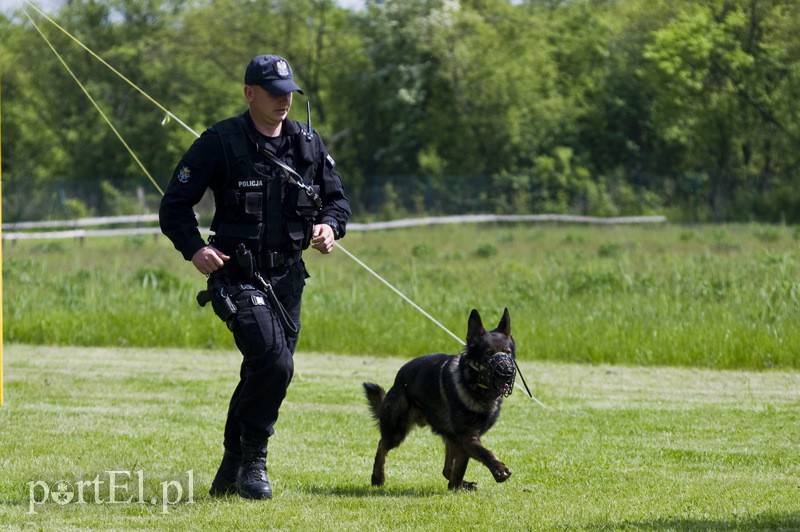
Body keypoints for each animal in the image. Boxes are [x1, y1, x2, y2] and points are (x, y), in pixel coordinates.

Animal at [364, 308, 516, 490]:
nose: (507, 372)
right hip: (397, 429)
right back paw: (377, 477)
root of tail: (398, 379)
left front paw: (456, 487)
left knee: (446, 469)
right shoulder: (466, 436)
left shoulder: (465, 438)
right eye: (489, 353)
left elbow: (460, 466)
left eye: (507, 353)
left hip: (448, 437)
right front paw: (498, 469)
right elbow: (484, 452)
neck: (475, 387)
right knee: (382, 445)